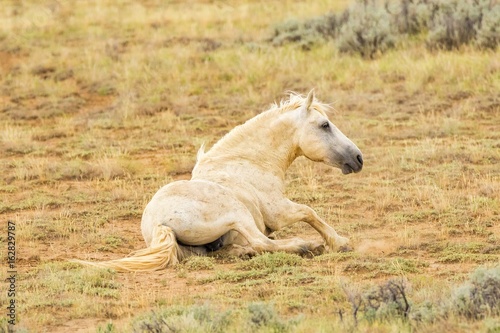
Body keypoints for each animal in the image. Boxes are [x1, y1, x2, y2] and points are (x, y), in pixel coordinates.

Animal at [75, 90, 364, 270]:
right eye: (325, 125)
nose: (358, 158)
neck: (247, 161)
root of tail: (159, 224)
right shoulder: (278, 212)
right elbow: (309, 212)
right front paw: (339, 242)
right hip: (237, 213)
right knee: (261, 242)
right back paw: (305, 245)